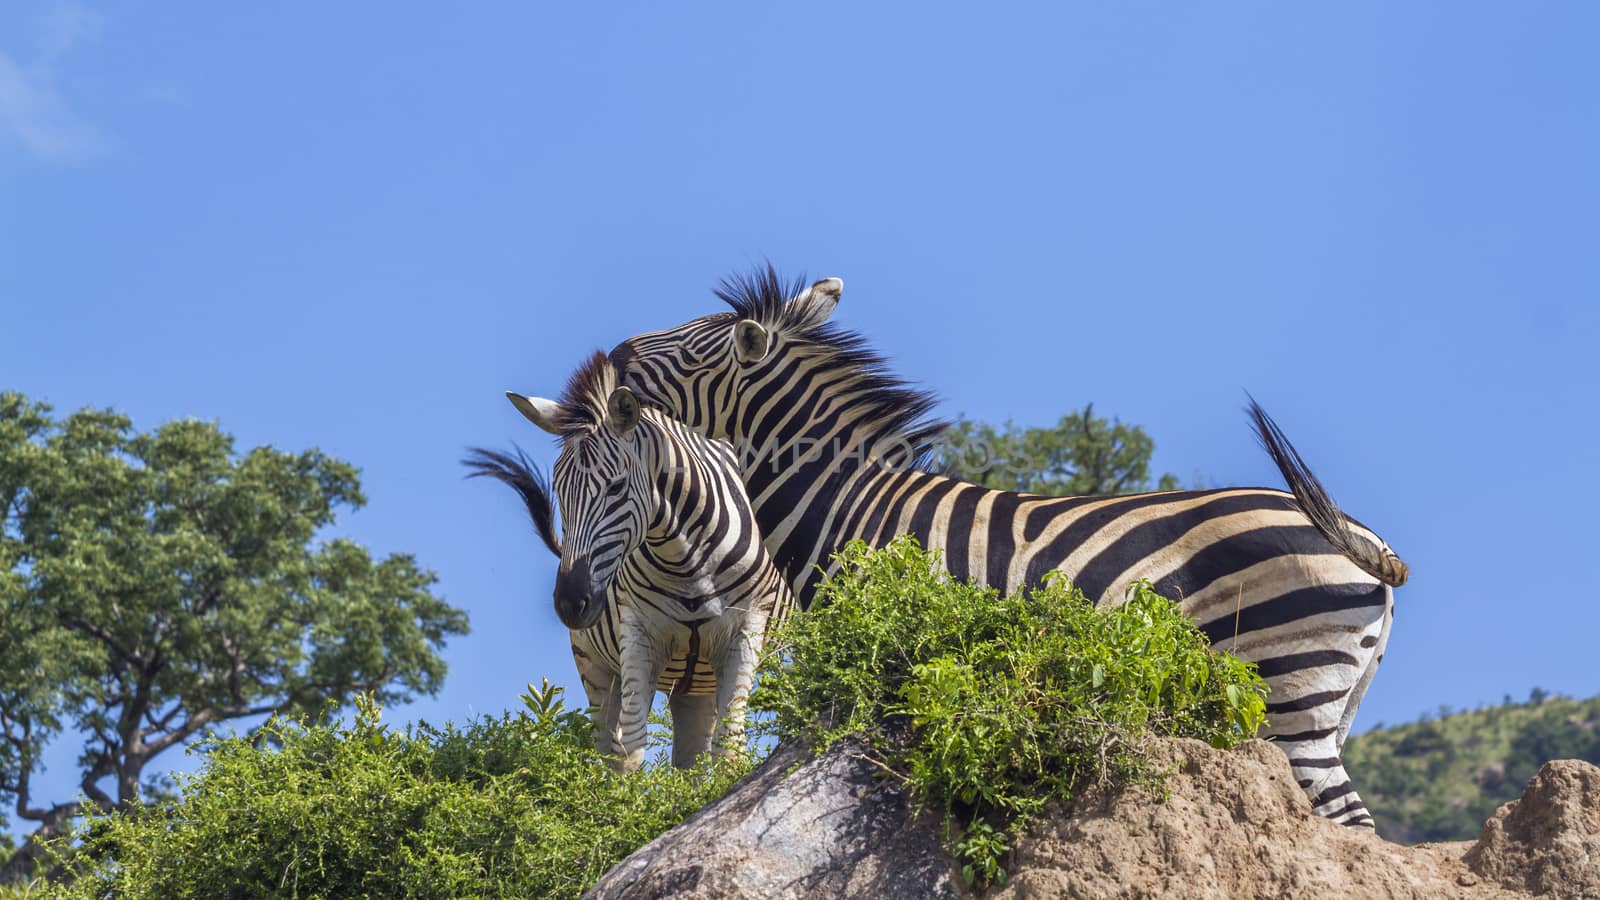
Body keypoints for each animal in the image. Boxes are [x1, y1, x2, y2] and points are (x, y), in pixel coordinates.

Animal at [464, 352, 793, 771]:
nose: (570, 602)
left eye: (617, 487)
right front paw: (629, 792)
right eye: (559, 491)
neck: (688, 565)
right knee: (613, 743)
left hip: (699, 675)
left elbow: (729, 748)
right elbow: (632, 747)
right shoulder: (637, 632)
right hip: (597, 664)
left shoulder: (746, 627)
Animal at [601, 267, 1414, 826]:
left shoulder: (882, 657)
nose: (611, 353)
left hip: (1286, 682)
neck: (849, 502)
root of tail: (1363, 537)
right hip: (1327, 700)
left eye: (691, 349)